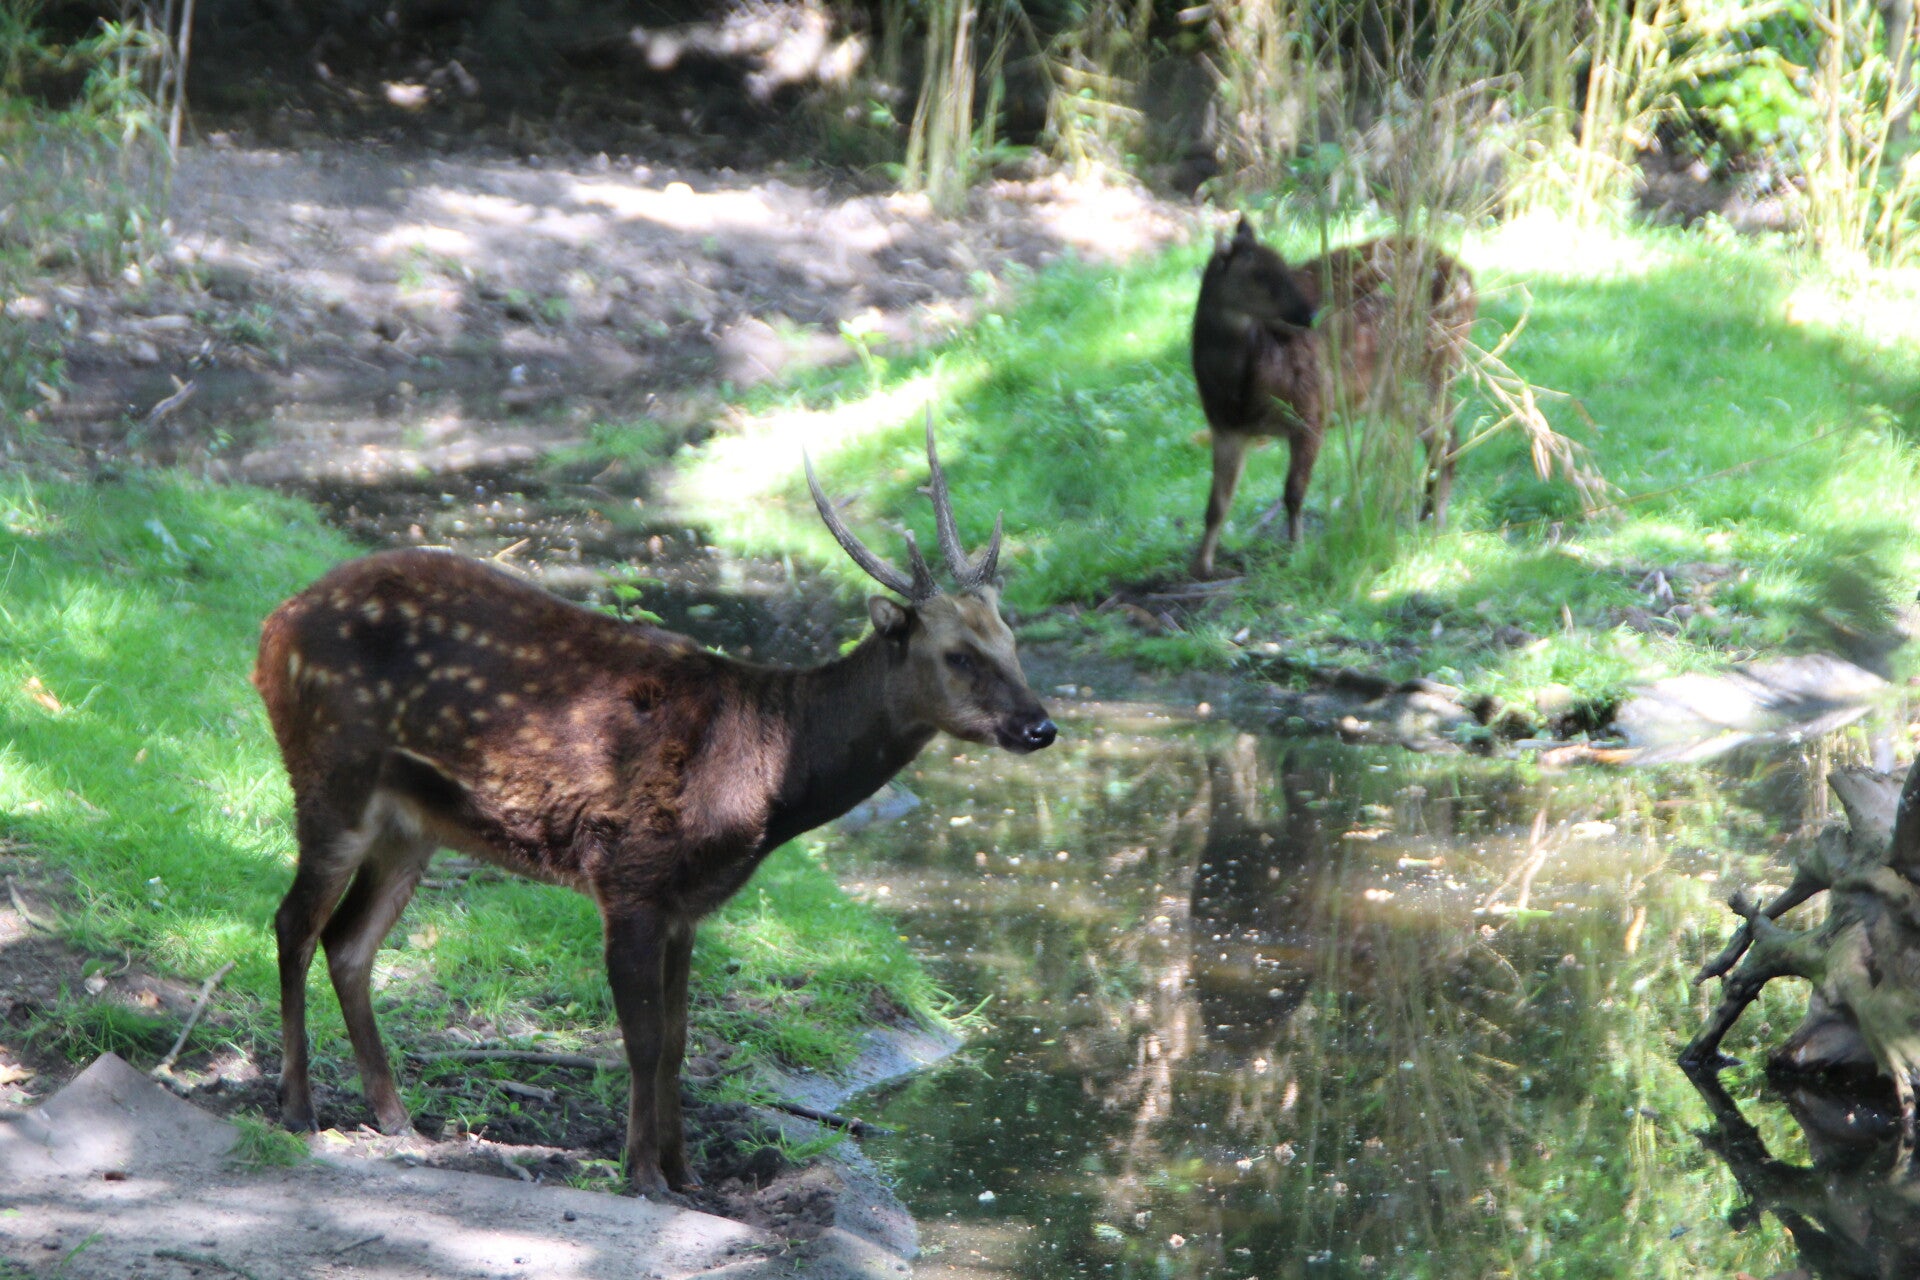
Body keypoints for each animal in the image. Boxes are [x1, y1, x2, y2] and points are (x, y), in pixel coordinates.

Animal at [252, 419, 1056, 1196]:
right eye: (956, 654)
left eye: (1011, 640)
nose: (1040, 726)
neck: (767, 775)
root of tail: (271, 629)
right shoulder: (630, 872)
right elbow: (639, 1039)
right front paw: (641, 1174)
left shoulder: (686, 905)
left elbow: (676, 1041)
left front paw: (687, 1173)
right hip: (332, 774)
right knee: (294, 922)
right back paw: (299, 1108)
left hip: (411, 823)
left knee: (349, 942)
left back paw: (395, 1117)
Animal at [1188, 214, 1478, 579]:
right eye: (1259, 275)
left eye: (1285, 267)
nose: (1311, 315)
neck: (1237, 389)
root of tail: (1470, 282)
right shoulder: (1225, 428)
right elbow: (1217, 503)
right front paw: (1202, 565)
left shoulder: (1311, 408)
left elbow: (1293, 491)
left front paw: (1295, 553)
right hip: (1399, 393)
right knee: (1439, 441)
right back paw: (1425, 516)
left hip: (1429, 370)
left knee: (1448, 440)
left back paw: (1436, 524)